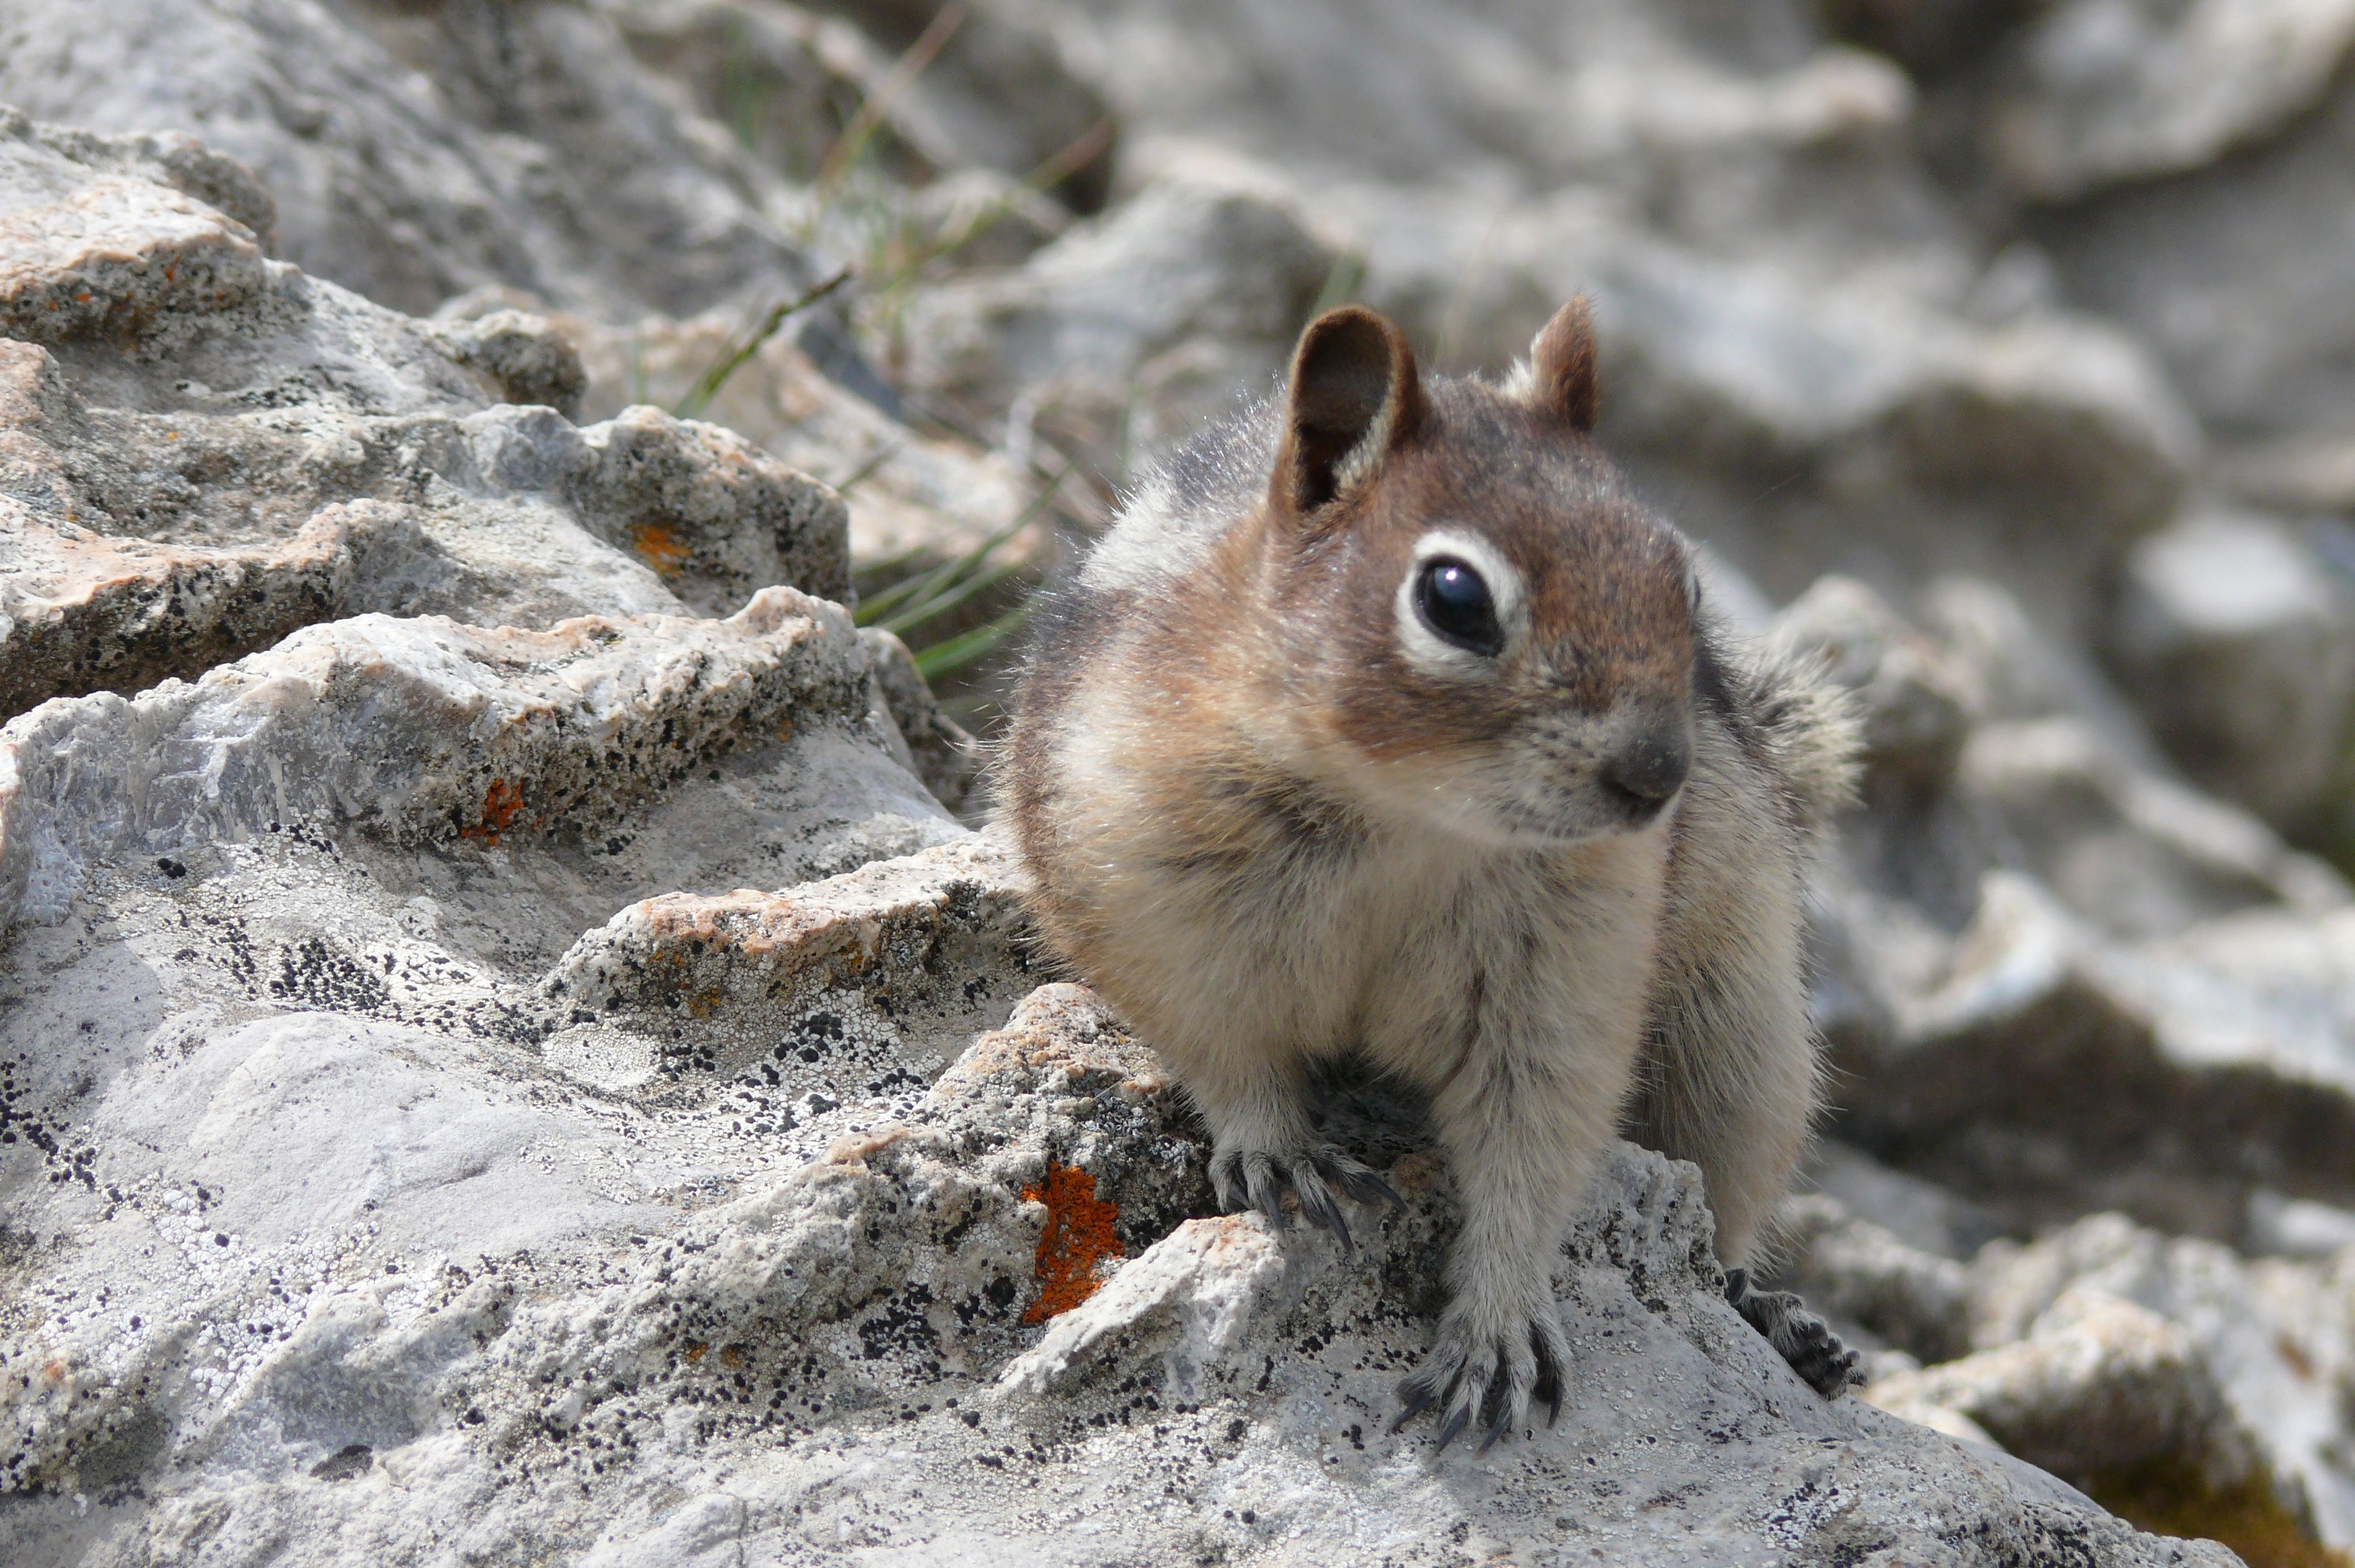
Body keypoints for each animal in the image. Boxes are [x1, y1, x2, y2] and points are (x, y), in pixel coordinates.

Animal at [1003, 296, 1865, 1441]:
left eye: (1681, 580)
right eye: (1454, 598)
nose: (1656, 774)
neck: (1411, 824)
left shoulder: (1568, 975)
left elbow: (1535, 1145)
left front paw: (1498, 1324)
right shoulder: (1152, 897)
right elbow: (1223, 1047)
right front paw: (1279, 1149)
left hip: (1742, 1048)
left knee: (1723, 1207)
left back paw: (1773, 1314)